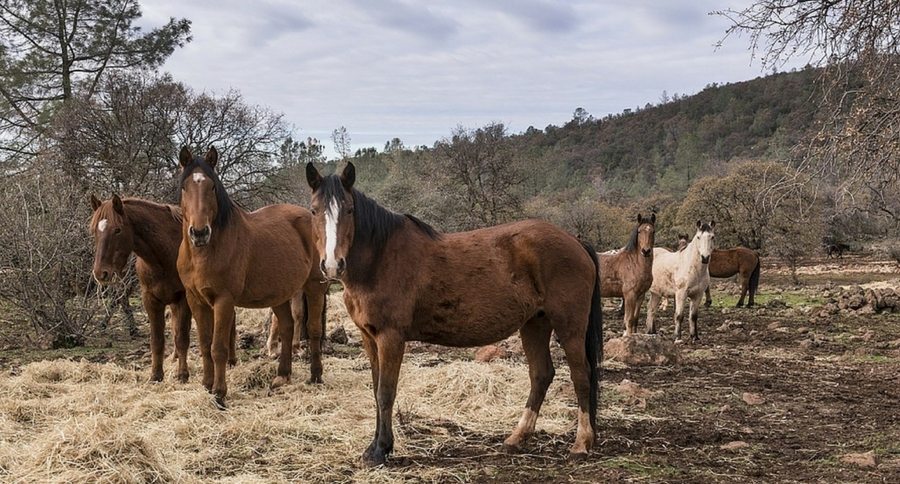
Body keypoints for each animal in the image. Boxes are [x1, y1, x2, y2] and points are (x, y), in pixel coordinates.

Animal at [176, 147, 328, 408]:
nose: (199, 233)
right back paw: (282, 376)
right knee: (287, 326)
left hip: (314, 286)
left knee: (314, 328)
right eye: (185, 187)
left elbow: (218, 348)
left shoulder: (224, 301)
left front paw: (219, 393)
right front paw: (206, 385)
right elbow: (205, 345)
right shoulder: (195, 300)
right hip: (279, 293)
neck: (206, 251)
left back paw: (315, 376)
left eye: (212, 187)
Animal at [305, 162, 602, 465]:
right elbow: (376, 392)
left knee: (581, 376)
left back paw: (581, 443)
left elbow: (385, 392)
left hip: (569, 327)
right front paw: (374, 447)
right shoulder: (369, 337)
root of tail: (576, 242)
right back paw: (517, 438)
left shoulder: (391, 338)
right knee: (541, 375)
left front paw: (381, 450)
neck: (381, 258)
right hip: (534, 324)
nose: (332, 265)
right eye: (314, 210)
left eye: (349, 210)